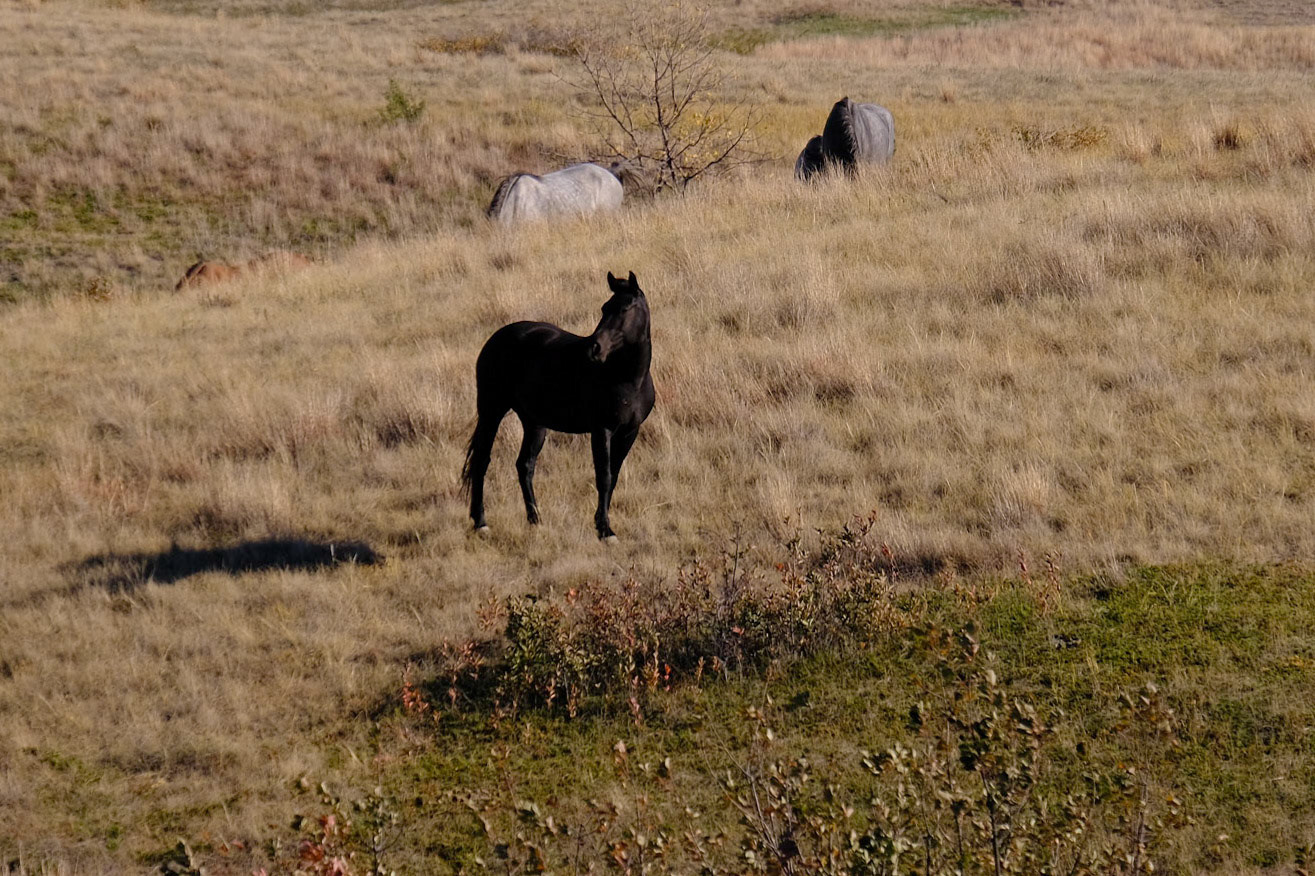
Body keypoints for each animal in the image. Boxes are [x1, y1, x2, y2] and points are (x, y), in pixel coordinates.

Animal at [461, 271, 655, 541]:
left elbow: (613, 476)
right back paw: (481, 523)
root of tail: (496, 338)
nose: (594, 348)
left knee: (525, 465)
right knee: (481, 461)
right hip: (492, 411)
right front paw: (605, 530)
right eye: (605, 308)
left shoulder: (629, 432)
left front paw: (603, 525)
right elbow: (604, 477)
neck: (628, 379)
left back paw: (535, 520)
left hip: (534, 423)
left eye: (626, 308)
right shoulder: (601, 430)